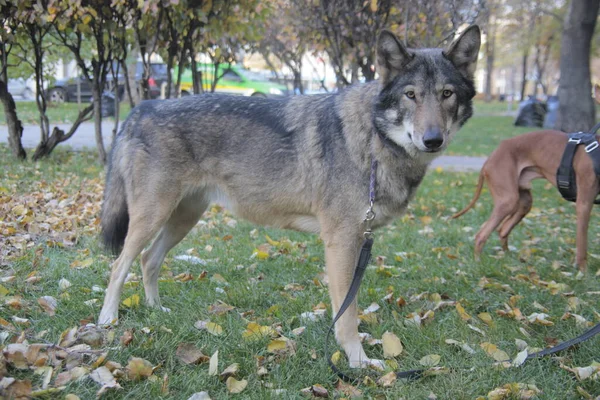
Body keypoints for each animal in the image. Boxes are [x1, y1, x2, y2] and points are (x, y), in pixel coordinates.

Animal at [99, 25, 482, 368]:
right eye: (411, 95)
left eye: (447, 94)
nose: (432, 140)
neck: (373, 140)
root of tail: (141, 109)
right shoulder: (342, 243)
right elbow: (346, 315)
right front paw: (358, 361)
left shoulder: (359, 239)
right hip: (153, 217)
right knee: (119, 264)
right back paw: (107, 321)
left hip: (182, 219)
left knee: (148, 260)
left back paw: (155, 310)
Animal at [454, 130, 600, 272]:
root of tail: (491, 157)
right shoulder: (583, 204)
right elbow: (582, 243)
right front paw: (583, 272)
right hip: (508, 200)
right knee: (481, 235)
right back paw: (478, 264)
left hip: (524, 202)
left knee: (503, 230)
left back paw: (509, 260)